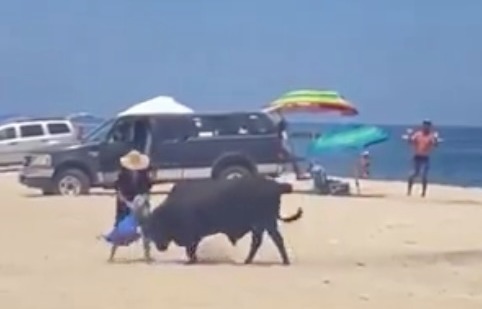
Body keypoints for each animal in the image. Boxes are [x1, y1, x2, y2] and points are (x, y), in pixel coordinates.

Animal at [143, 177, 304, 264]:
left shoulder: (191, 235)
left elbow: (190, 248)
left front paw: (192, 260)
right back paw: (248, 261)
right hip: (262, 225)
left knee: (276, 240)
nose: (160, 246)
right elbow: (191, 248)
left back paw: (284, 261)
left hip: (267, 222)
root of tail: (275, 185)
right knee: (258, 242)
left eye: (156, 226)